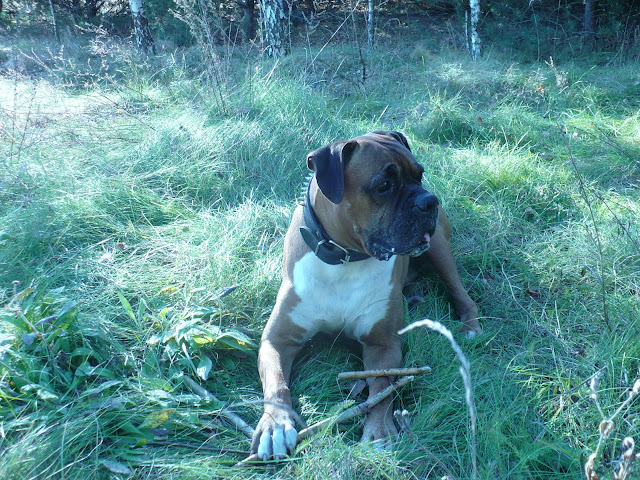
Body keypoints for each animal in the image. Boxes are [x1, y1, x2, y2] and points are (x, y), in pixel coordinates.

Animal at [250, 131, 481, 460]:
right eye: (383, 185)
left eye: (420, 175)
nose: (429, 201)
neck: (344, 260)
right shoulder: (277, 341)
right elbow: (276, 385)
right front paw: (276, 424)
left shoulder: (382, 344)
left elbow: (381, 386)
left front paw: (380, 430)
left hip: (439, 249)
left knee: (461, 293)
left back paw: (470, 325)